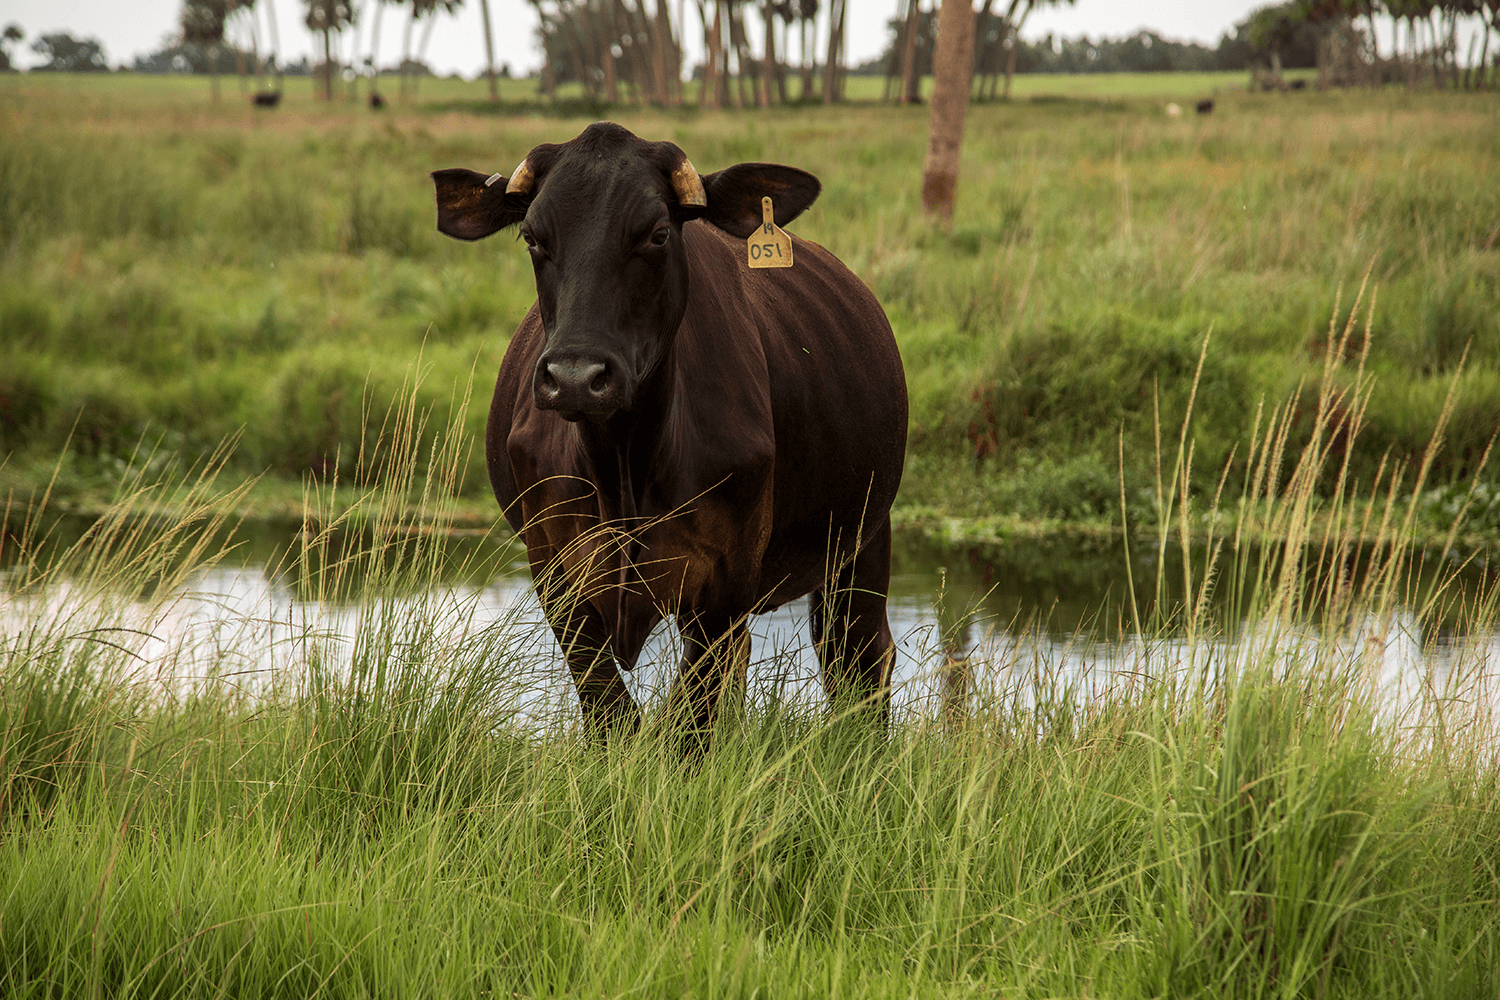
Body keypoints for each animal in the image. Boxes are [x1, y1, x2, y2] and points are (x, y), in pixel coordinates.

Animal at [429, 122, 906, 743]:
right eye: (532, 237)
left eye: (657, 235)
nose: (576, 377)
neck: (624, 465)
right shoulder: (555, 572)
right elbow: (611, 713)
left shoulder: (726, 582)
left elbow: (690, 723)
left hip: (863, 539)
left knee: (860, 661)